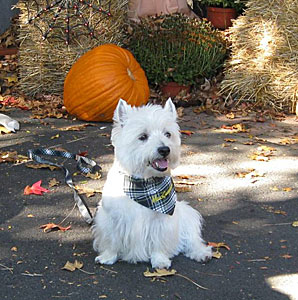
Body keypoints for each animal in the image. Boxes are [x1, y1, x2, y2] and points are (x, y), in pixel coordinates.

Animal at [92, 98, 213, 270]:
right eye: (143, 136)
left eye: (167, 134)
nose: (164, 149)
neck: (143, 182)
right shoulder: (111, 218)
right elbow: (111, 240)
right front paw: (107, 257)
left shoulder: (161, 220)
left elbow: (158, 242)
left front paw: (160, 261)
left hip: (187, 216)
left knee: (192, 240)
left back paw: (201, 253)